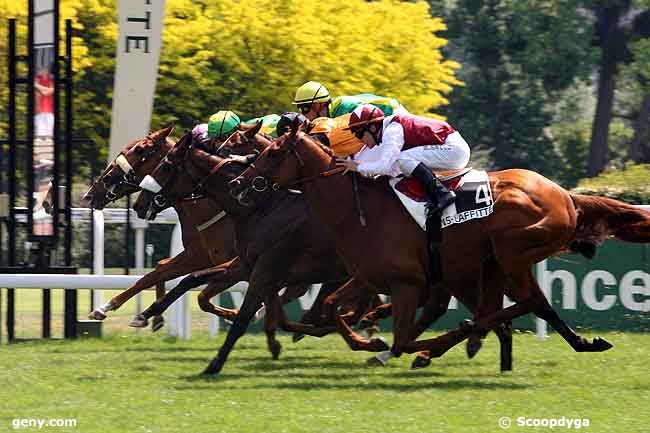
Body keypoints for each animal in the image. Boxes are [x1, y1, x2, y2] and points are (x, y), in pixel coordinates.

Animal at [229, 119, 648, 368]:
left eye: (273, 152)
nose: (238, 183)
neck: (360, 208)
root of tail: (564, 196)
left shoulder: (407, 283)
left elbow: (400, 339)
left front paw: (385, 347)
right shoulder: (369, 276)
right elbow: (332, 306)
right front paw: (367, 342)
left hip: (511, 253)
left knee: (525, 302)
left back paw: (453, 340)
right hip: (495, 262)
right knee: (530, 304)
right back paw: (583, 343)